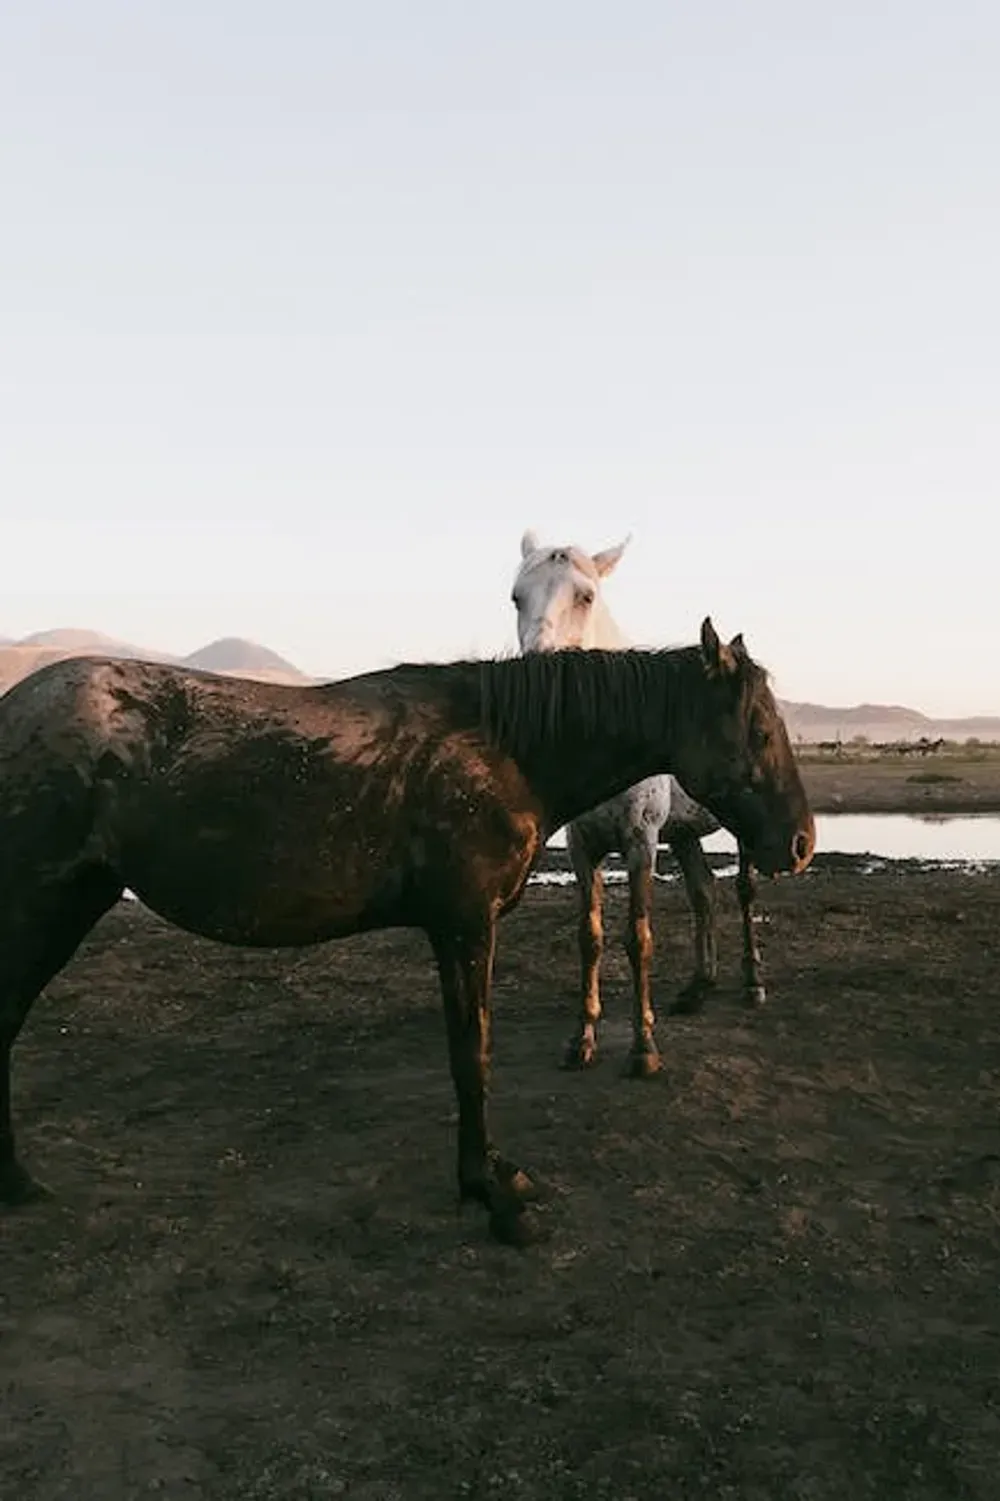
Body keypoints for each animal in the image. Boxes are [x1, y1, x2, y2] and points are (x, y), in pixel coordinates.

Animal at [0, 618, 810, 1242]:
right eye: (758, 728)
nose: (800, 843)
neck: (505, 750)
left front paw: (491, 1174)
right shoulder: (463, 926)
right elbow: (471, 1058)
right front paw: (491, 1195)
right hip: (42, 909)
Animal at [510, 534, 759, 1074]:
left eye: (586, 596)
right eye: (517, 596)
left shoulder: (641, 842)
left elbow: (637, 937)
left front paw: (644, 1048)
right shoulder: (581, 846)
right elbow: (590, 936)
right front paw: (581, 1039)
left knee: (744, 891)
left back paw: (753, 982)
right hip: (684, 834)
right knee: (704, 894)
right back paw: (697, 988)